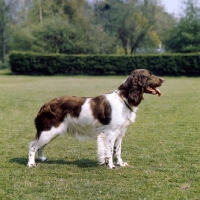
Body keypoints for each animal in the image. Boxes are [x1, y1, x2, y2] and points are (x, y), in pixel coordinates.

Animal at [27, 69, 164, 168]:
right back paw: (31, 163)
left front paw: (120, 164)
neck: (123, 99)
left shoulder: (120, 133)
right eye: (149, 75)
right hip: (49, 131)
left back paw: (41, 158)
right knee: (33, 146)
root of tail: (45, 105)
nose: (163, 79)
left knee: (40, 146)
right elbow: (109, 151)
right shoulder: (110, 133)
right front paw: (110, 166)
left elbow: (118, 151)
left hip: (51, 132)